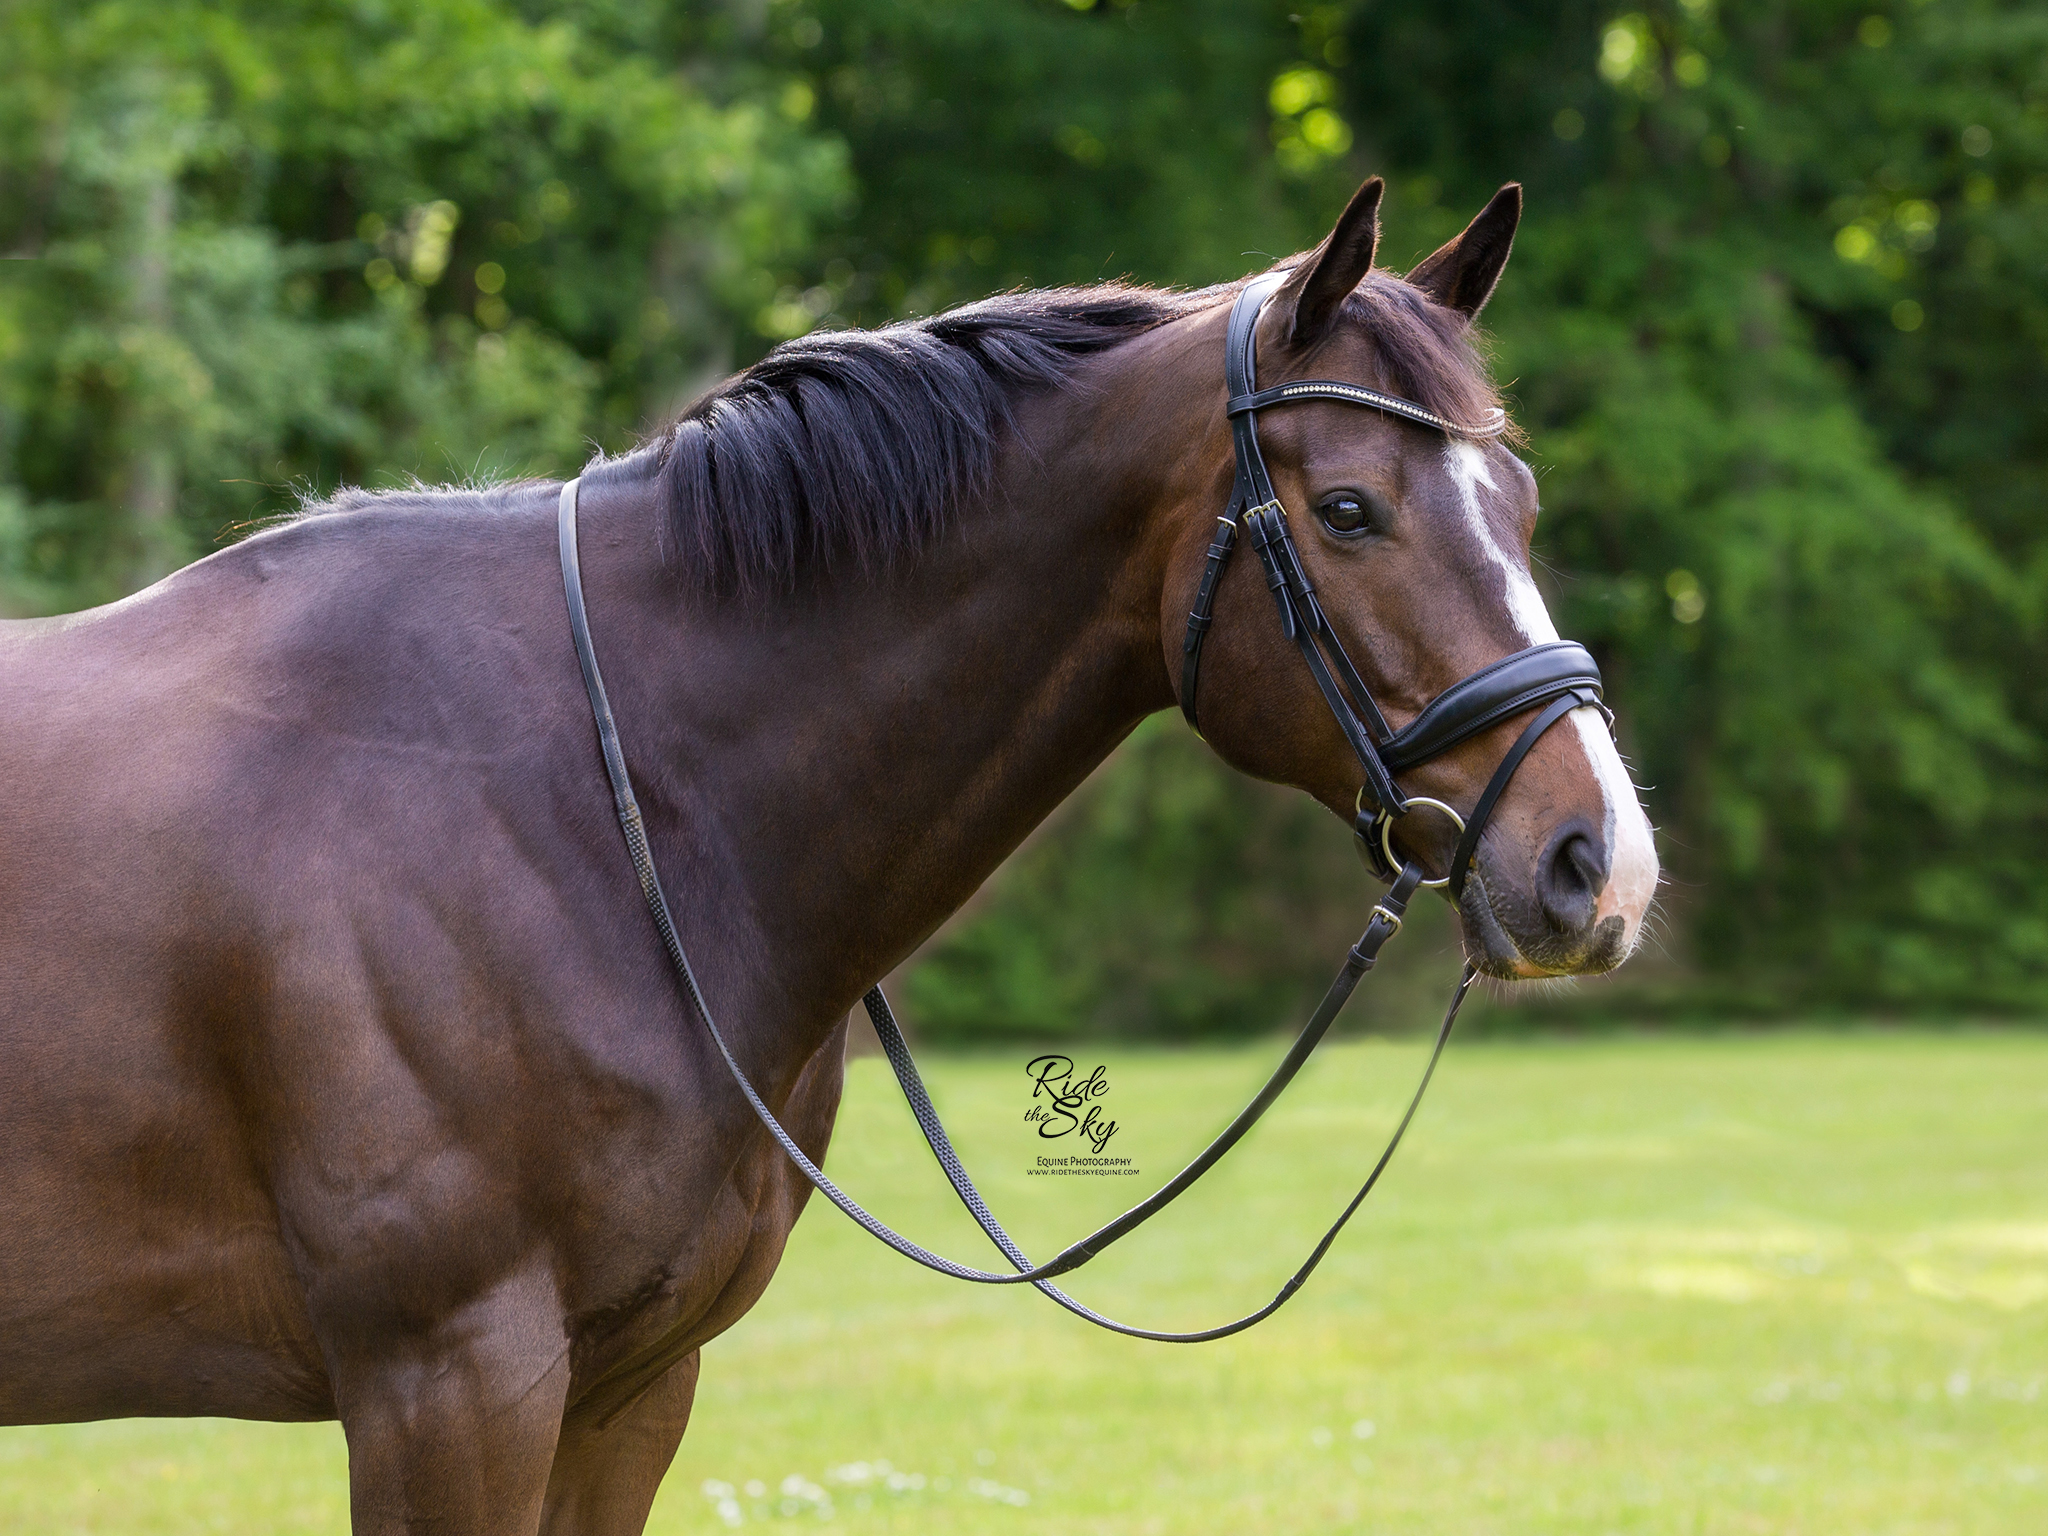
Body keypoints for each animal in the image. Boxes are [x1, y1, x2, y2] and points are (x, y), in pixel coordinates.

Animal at [0, 183, 1654, 1536]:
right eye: (1351, 510)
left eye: (1518, 505)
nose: (1597, 866)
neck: (592, 808)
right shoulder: (446, 1382)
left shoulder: (626, 1389)